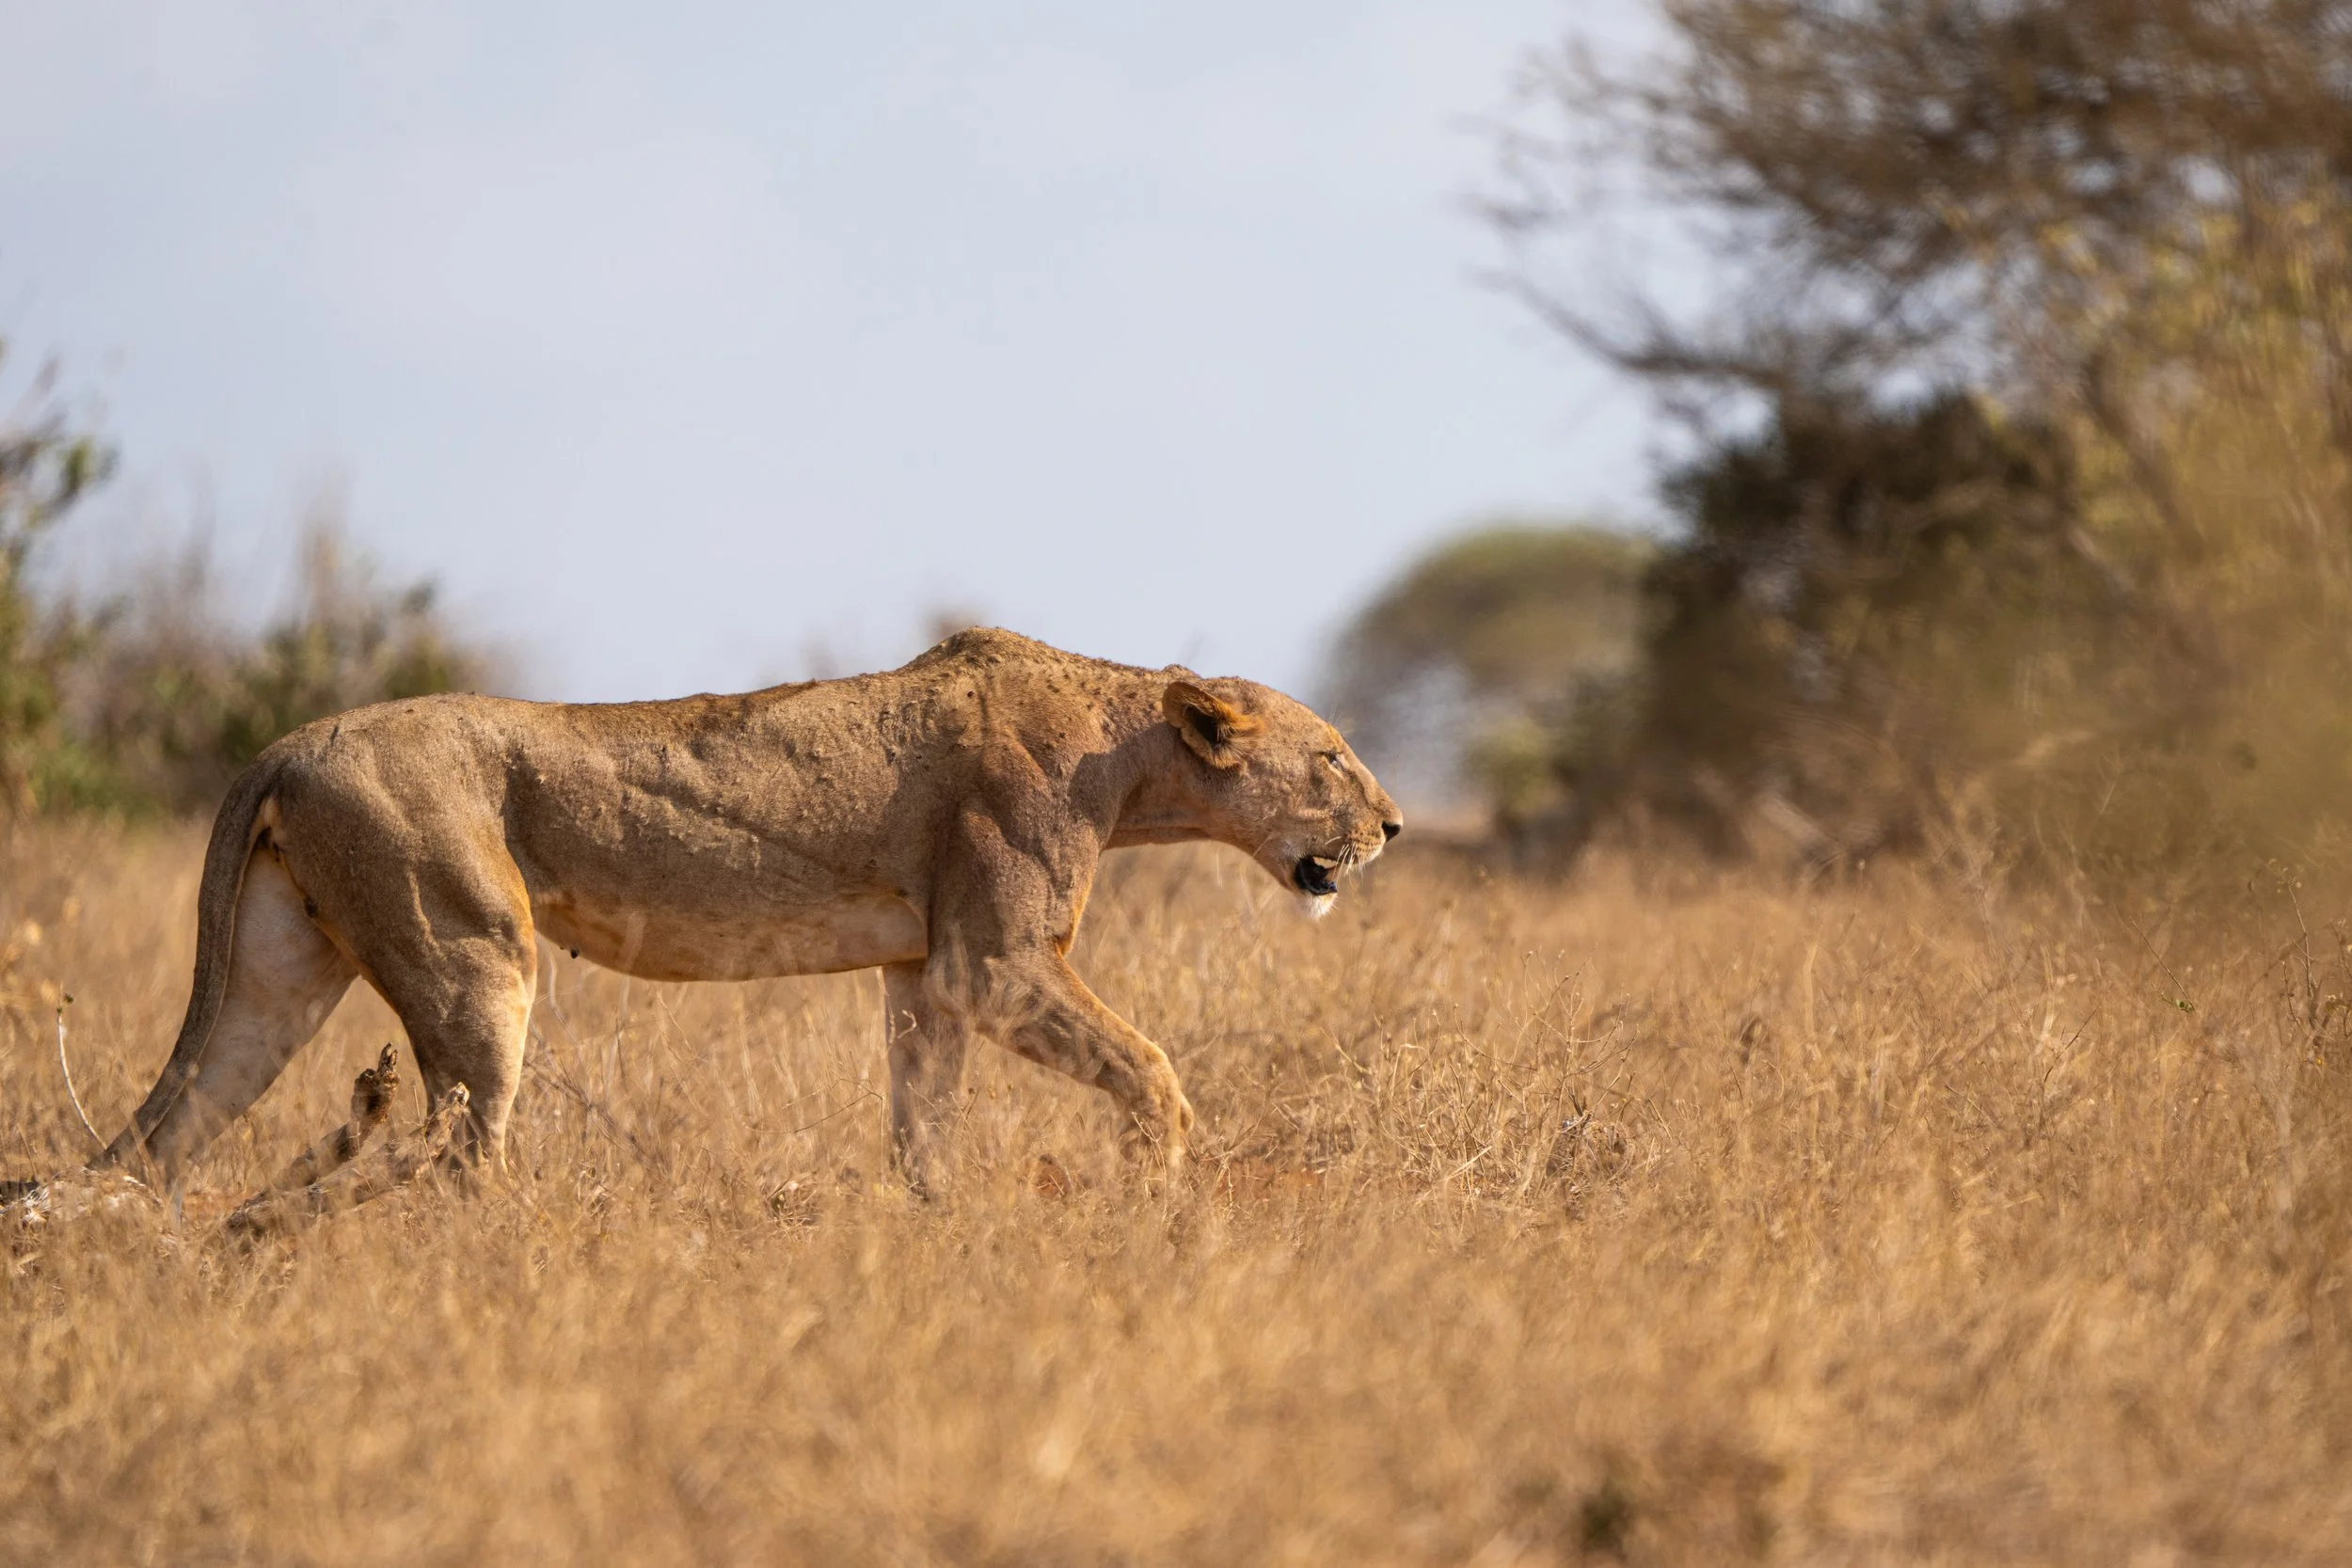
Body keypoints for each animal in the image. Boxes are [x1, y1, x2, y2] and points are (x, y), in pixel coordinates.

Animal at [94, 628, 1401, 1194]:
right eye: (1332, 756)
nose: (1393, 825)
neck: (1121, 758)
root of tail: (285, 744)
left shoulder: (927, 973)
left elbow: (921, 1124)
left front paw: (934, 1227)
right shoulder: (997, 960)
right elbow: (1150, 1063)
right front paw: (1162, 1185)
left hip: (274, 973)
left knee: (168, 1130)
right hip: (474, 957)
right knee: (456, 1150)